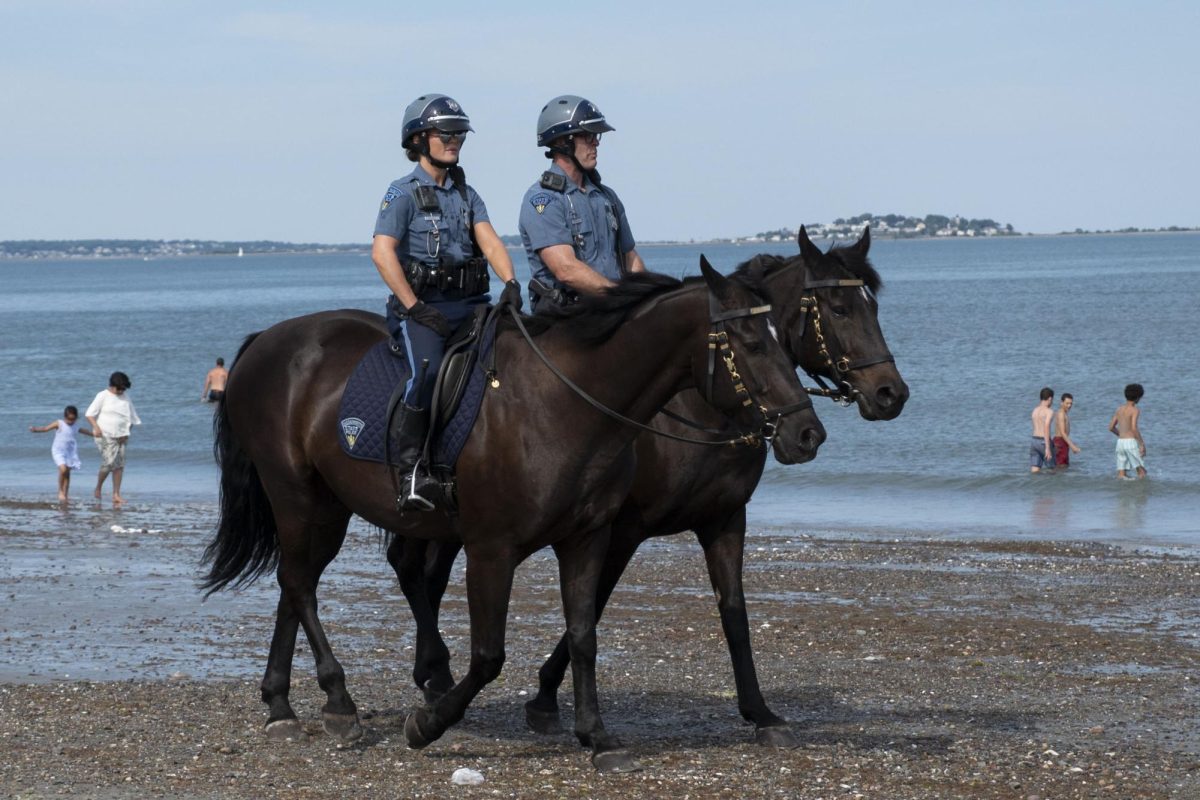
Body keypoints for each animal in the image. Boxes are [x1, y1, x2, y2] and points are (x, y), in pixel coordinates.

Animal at [201, 260, 830, 772]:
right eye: (749, 341)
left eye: (785, 336)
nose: (808, 434)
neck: (563, 403)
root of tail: (266, 342)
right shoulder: (492, 549)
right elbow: (489, 655)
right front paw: (427, 725)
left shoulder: (589, 538)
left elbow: (584, 634)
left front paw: (597, 737)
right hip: (300, 497)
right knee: (300, 583)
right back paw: (339, 700)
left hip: (327, 508)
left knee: (297, 583)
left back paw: (282, 704)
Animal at [388, 227, 902, 748]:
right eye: (838, 308)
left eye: (873, 306)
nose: (891, 394)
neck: (694, 408)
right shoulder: (623, 530)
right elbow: (592, 608)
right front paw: (545, 697)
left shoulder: (723, 519)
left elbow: (734, 614)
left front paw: (760, 712)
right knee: (414, 570)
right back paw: (434, 676)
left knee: (422, 574)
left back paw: (433, 677)